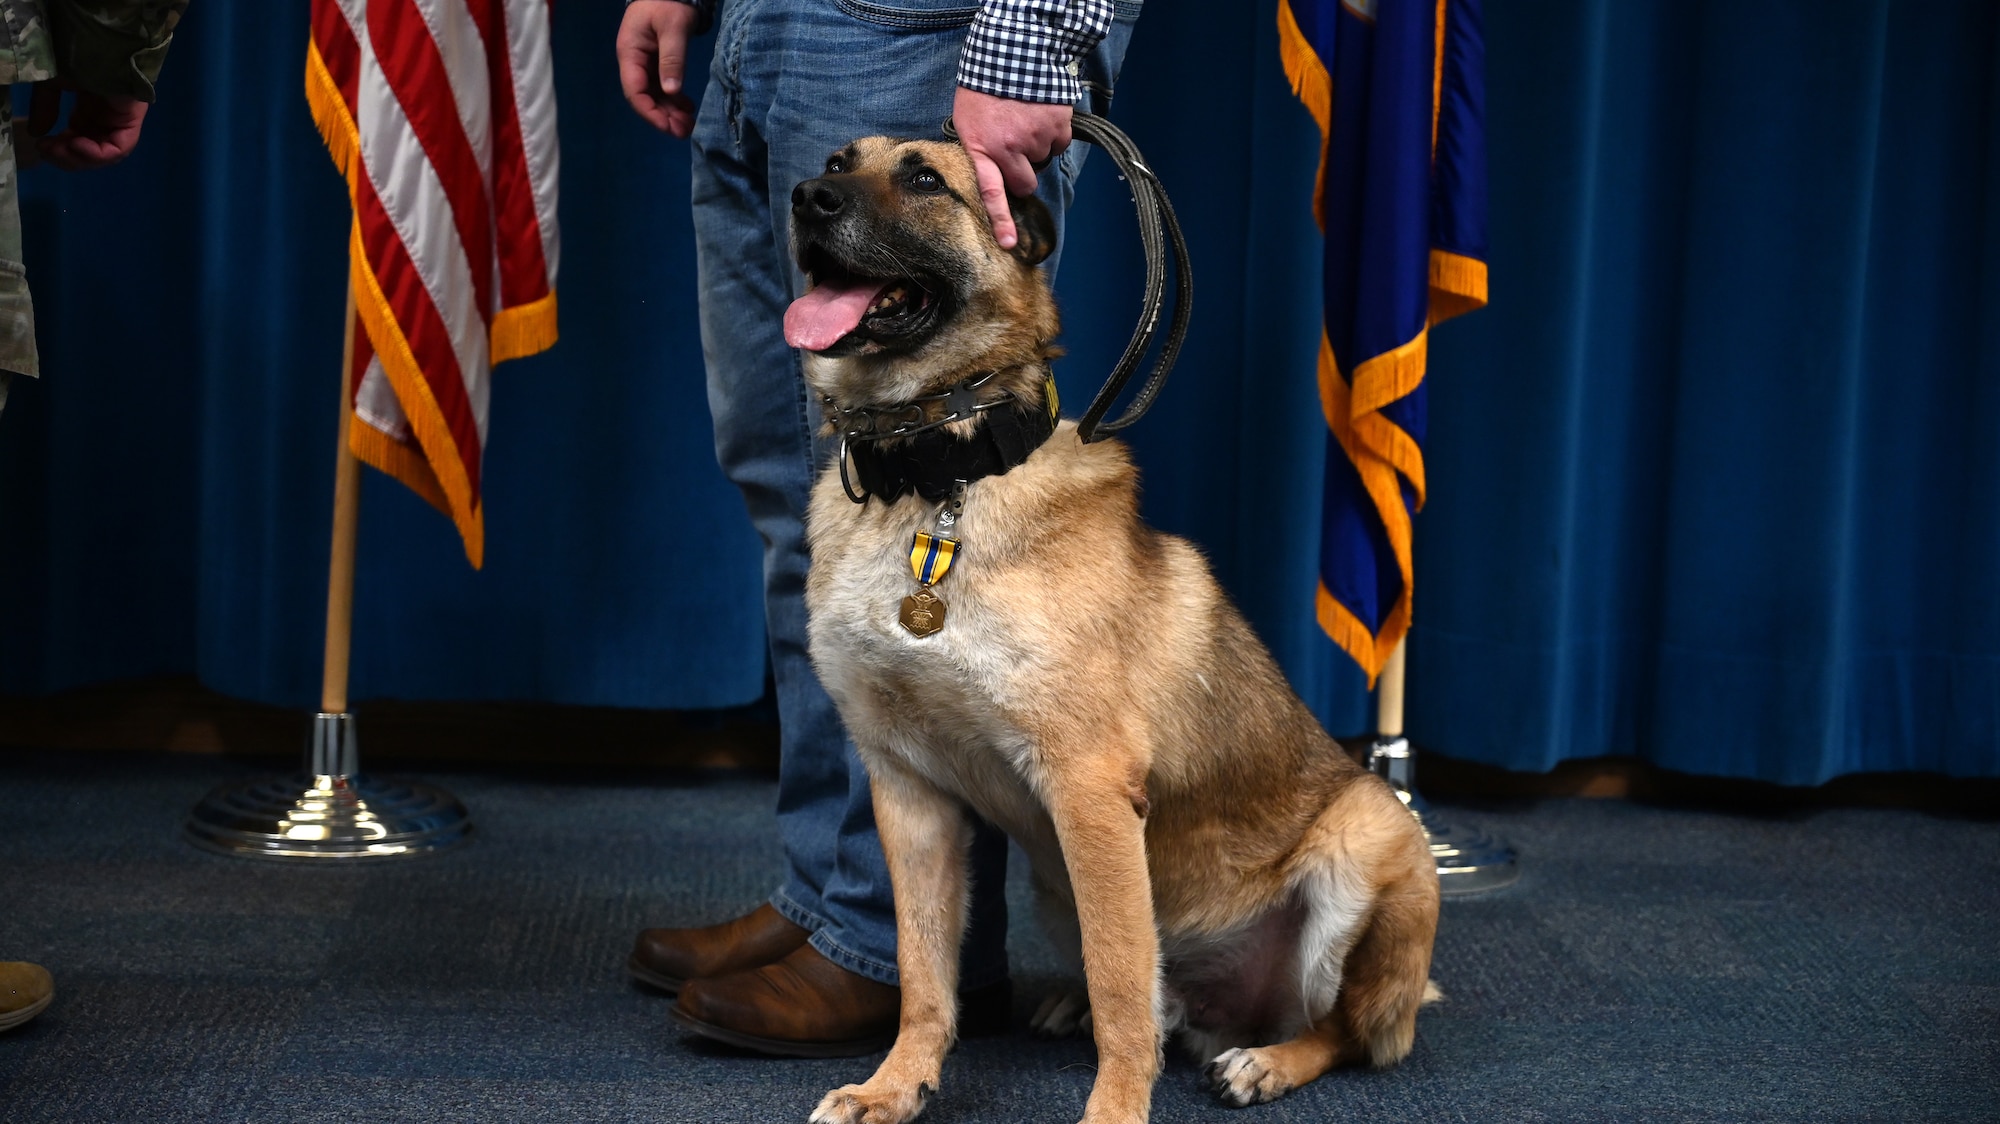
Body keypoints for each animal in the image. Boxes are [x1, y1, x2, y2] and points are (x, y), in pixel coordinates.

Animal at [784, 138, 1440, 1120]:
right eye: (836, 161)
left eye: (926, 179)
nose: (803, 196)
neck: (931, 482)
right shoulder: (911, 793)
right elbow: (923, 970)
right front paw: (895, 1086)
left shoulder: (1087, 788)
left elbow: (1124, 978)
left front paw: (1116, 1109)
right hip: (1057, 878)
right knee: (1171, 1004)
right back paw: (1084, 1011)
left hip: (1375, 835)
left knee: (1341, 1029)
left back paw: (1267, 1061)